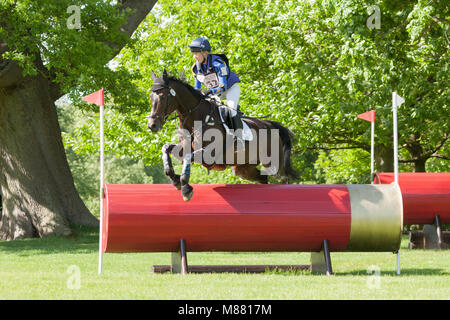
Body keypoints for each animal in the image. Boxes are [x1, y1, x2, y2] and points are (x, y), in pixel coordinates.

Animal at [146, 70, 298, 201]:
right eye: (150, 97)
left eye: (163, 97)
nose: (152, 125)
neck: (195, 118)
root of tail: (268, 124)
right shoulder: (184, 148)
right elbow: (166, 148)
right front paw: (176, 180)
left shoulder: (209, 153)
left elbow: (188, 157)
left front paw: (186, 189)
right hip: (243, 169)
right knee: (263, 179)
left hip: (272, 164)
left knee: (283, 178)